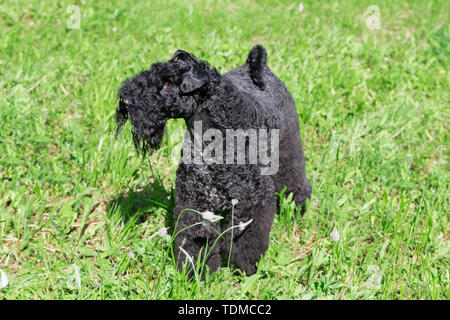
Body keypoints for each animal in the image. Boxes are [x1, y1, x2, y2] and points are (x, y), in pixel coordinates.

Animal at [116, 45, 312, 278]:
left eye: (168, 84)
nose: (125, 100)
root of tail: (259, 68)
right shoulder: (195, 201)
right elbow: (196, 239)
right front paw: (195, 272)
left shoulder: (255, 201)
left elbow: (248, 241)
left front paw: (246, 268)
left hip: (288, 148)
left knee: (294, 179)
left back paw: (297, 207)